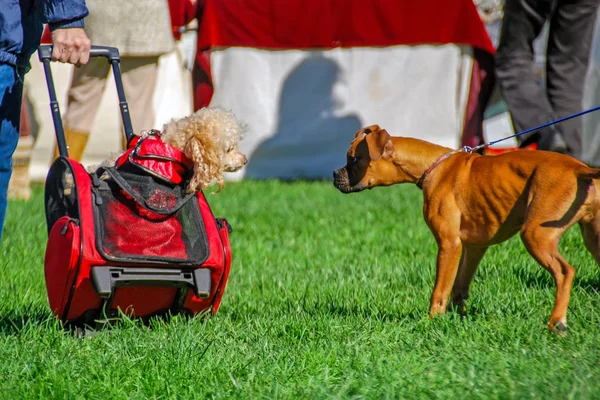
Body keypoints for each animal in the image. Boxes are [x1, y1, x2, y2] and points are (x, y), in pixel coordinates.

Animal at [330, 124, 600, 332]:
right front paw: (457, 318)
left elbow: (440, 289)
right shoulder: (474, 246)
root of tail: (579, 168)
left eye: (353, 159)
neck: (432, 166)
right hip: (592, 238)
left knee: (564, 272)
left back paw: (557, 323)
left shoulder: (449, 244)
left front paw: (432, 321)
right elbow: (459, 285)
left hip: (536, 235)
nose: (333, 174)